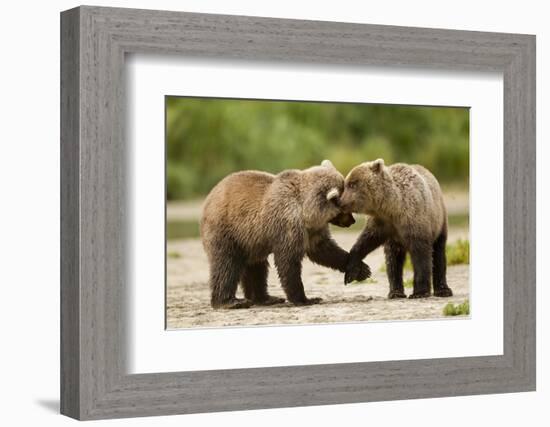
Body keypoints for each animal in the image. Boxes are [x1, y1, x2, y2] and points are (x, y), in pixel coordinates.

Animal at [199, 162, 370, 310]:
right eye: (346, 207)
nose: (352, 221)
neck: (306, 212)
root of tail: (209, 198)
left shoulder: (313, 230)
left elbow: (324, 250)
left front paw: (361, 269)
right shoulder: (287, 224)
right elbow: (288, 261)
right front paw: (306, 299)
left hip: (251, 241)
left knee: (257, 268)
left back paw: (266, 298)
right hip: (227, 231)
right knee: (226, 265)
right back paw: (231, 301)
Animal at [342, 159, 454, 300]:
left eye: (352, 184)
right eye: (346, 183)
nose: (340, 201)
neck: (392, 207)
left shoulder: (414, 220)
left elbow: (421, 256)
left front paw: (419, 292)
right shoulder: (383, 224)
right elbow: (366, 241)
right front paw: (351, 271)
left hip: (439, 221)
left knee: (439, 253)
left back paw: (443, 290)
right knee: (394, 260)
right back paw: (395, 292)